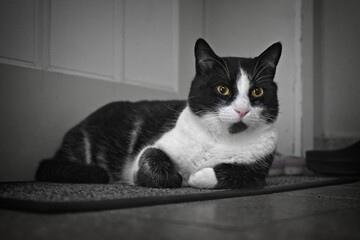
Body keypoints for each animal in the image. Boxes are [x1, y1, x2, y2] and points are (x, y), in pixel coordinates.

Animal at [37, 39, 284, 189]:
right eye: (222, 89)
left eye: (257, 91)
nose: (242, 110)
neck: (219, 138)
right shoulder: (154, 147)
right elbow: (150, 157)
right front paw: (175, 177)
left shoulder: (259, 171)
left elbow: (239, 174)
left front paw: (198, 177)